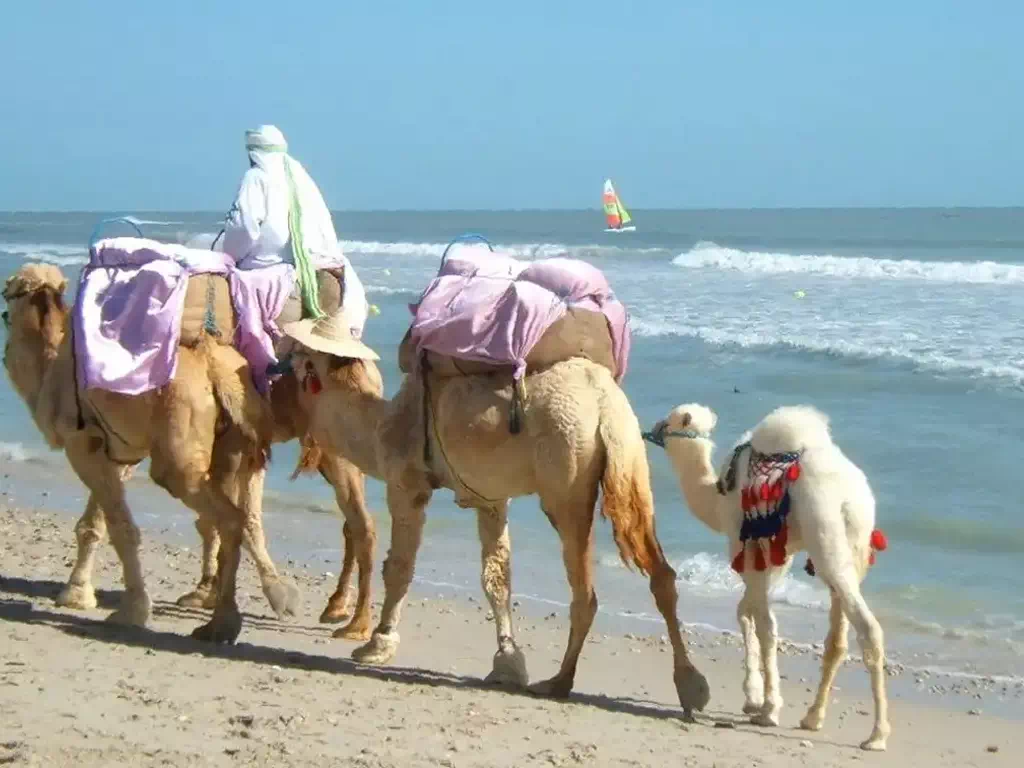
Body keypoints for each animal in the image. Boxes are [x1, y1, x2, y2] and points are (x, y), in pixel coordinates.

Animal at [1, 264, 380, 643]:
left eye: (9, 296)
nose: (4, 318)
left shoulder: (85, 445)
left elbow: (112, 526)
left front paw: (100, 600)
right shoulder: (121, 450)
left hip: (194, 455)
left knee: (348, 523)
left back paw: (349, 624)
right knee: (330, 521)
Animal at [280, 313, 712, 720]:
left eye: (299, 356)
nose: (275, 366)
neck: (382, 426)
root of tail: (604, 402)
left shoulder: (407, 485)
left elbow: (400, 566)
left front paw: (377, 643)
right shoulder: (489, 499)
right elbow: (497, 578)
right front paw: (507, 664)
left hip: (566, 480)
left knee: (585, 590)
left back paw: (559, 681)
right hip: (633, 465)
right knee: (661, 574)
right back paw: (690, 688)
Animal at [651, 403, 892, 753]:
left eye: (671, 421)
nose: (654, 428)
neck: (716, 496)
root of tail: (852, 498)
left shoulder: (742, 542)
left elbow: (764, 622)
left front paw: (766, 708)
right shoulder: (780, 552)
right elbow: (747, 611)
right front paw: (753, 699)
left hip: (826, 537)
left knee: (868, 628)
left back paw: (876, 735)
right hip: (854, 547)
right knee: (837, 638)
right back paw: (813, 718)